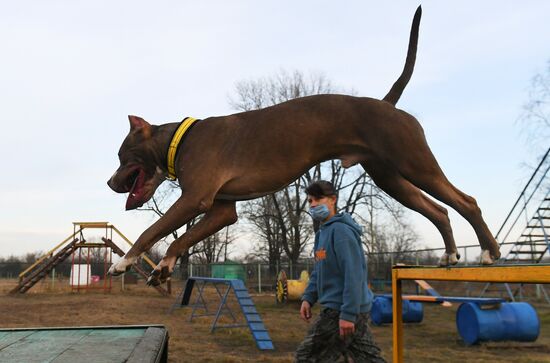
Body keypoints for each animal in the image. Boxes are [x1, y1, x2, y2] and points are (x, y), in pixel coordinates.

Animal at [108, 4, 504, 284]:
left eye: (122, 156)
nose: (110, 182)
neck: (179, 139)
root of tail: (387, 105)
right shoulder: (222, 210)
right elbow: (179, 239)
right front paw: (163, 266)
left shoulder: (195, 199)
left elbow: (151, 230)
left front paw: (123, 262)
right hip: (391, 178)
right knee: (439, 210)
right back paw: (450, 255)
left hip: (415, 164)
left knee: (466, 201)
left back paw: (488, 252)